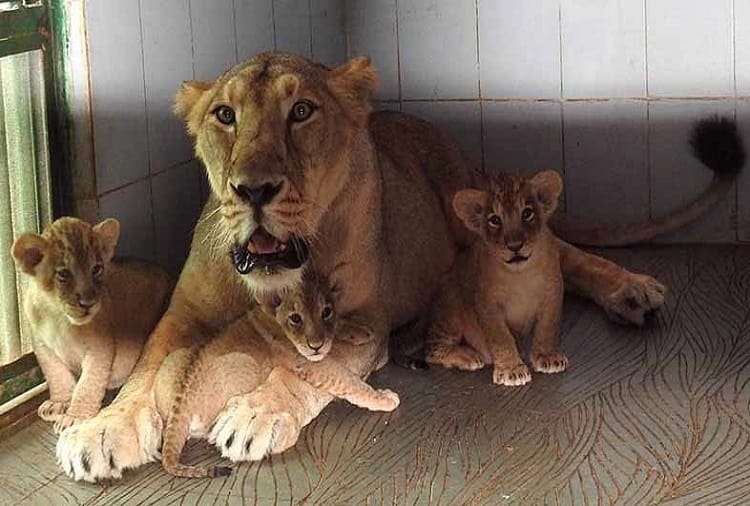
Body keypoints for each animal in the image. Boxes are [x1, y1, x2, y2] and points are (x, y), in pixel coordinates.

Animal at [11, 217, 170, 433]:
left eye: (96, 269)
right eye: (63, 274)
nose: (87, 304)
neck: (58, 317)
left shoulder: (99, 348)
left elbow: (88, 384)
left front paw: (74, 418)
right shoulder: (43, 347)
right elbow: (56, 375)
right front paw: (59, 403)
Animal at [426, 169, 569, 386]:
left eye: (527, 213)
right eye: (494, 220)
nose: (515, 246)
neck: (520, 274)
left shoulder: (553, 291)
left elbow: (547, 326)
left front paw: (547, 356)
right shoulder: (487, 303)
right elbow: (500, 336)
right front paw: (512, 369)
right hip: (450, 307)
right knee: (431, 350)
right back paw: (467, 356)